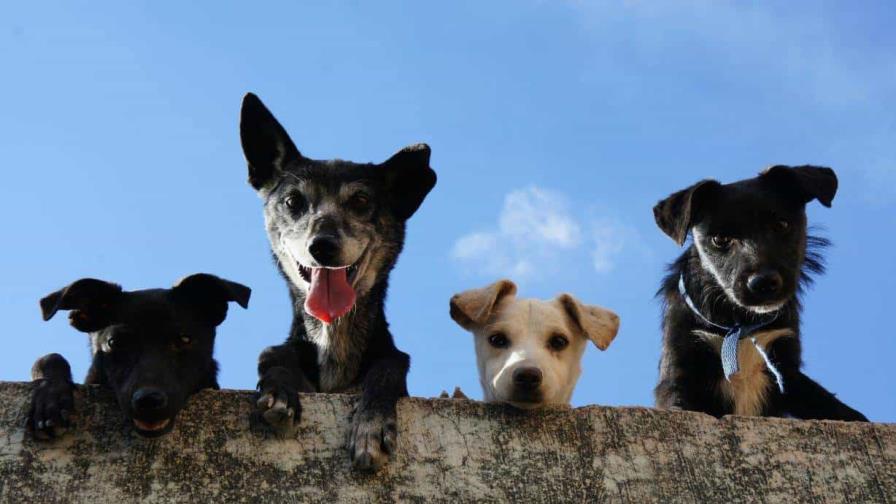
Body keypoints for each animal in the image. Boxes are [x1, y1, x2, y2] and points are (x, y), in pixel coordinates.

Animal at [238, 92, 434, 470]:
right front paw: (279, 392)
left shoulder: (390, 363)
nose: (322, 246)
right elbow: (273, 355)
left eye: (360, 200)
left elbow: (388, 367)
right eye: (292, 201)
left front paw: (371, 426)